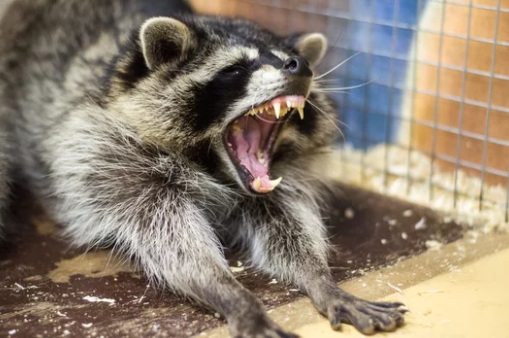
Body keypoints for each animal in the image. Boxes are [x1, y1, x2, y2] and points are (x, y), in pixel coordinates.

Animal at [0, 1, 404, 336]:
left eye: (287, 57)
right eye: (236, 69)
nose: (300, 65)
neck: (215, 168)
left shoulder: (281, 181)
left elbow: (288, 226)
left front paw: (321, 279)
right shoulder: (108, 158)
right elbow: (172, 241)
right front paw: (230, 291)